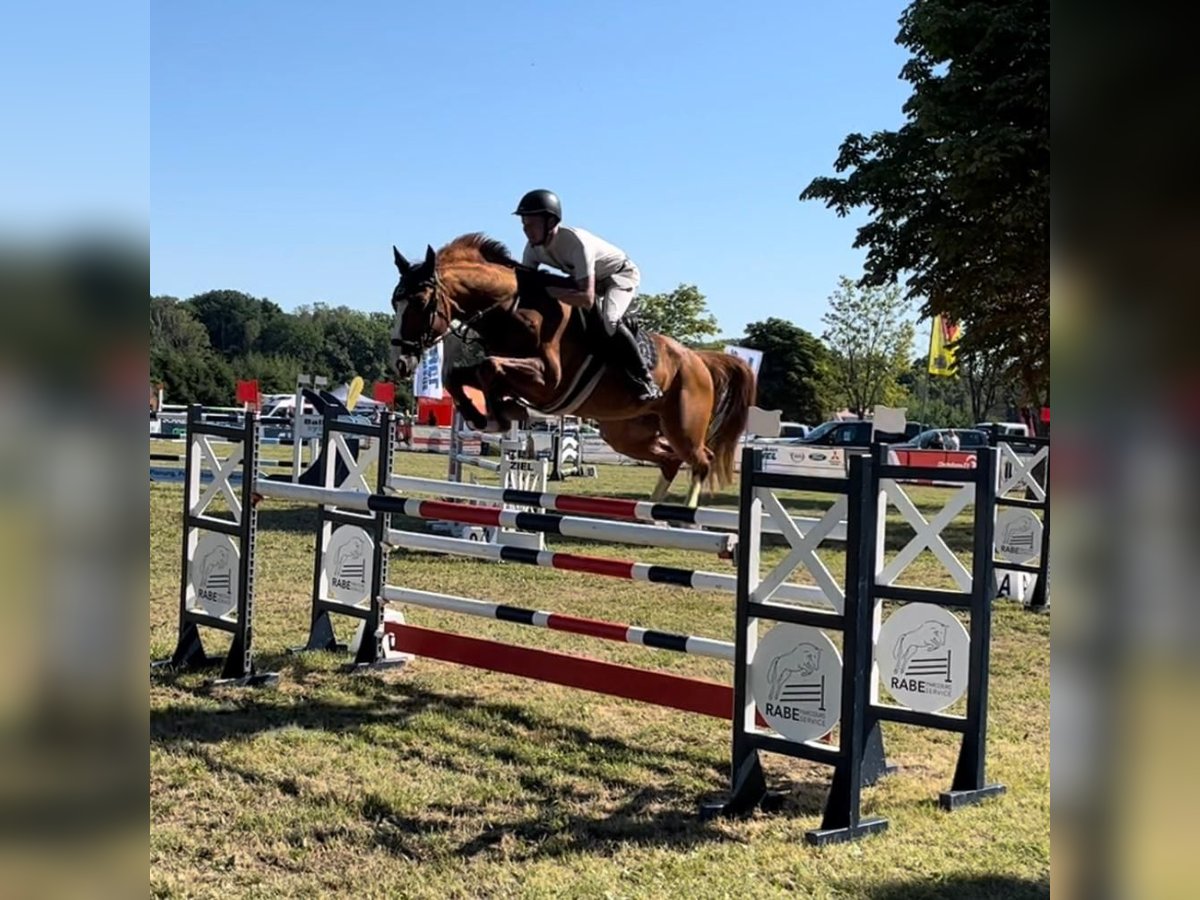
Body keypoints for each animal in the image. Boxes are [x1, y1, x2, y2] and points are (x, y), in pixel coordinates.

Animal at [388, 234, 753, 508]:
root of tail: (698, 359)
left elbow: (489, 369)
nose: (401, 362)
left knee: (701, 459)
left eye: (419, 303)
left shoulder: (549, 382)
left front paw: (500, 415)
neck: (511, 308)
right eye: (395, 303)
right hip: (626, 433)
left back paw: (683, 517)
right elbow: (462, 375)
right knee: (670, 460)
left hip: (683, 425)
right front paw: (489, 414)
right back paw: (652, 515)